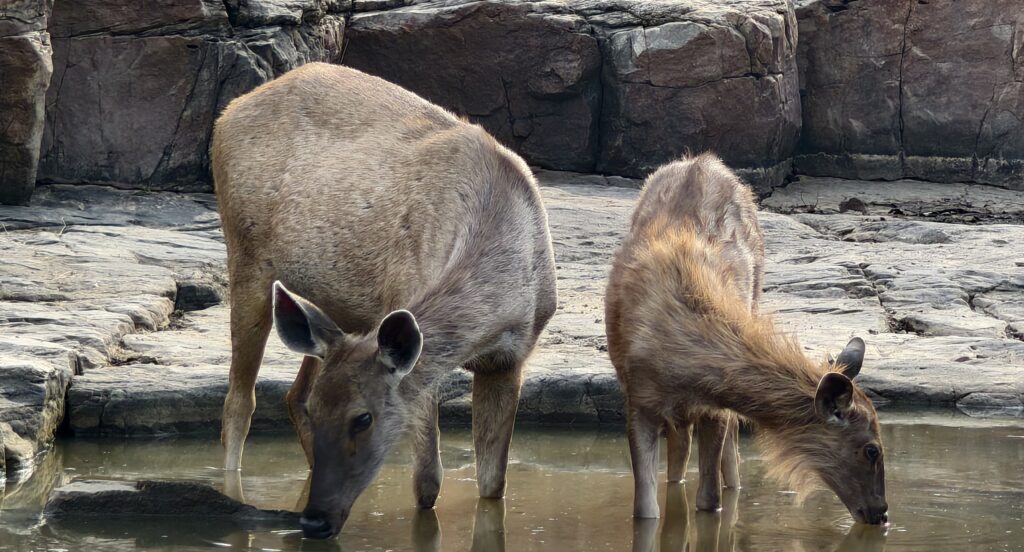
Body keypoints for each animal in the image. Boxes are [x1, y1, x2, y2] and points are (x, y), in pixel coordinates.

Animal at [211, 63, 557, 539]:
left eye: (363, 418)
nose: (315, 521)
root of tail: (226, 114)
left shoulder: (509, 359)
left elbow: (493, 487)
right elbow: (428, 482)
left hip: (328, 307)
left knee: (292, 394)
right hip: (246, 256)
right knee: (239, 403)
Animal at [605, 154, 887, 525]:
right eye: (872, 449)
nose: (881, 512)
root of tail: (702, 160)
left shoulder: (715, 408)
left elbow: (710, 500)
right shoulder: (638, 401)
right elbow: (645, 509)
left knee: (727, 458)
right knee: (681, 456)